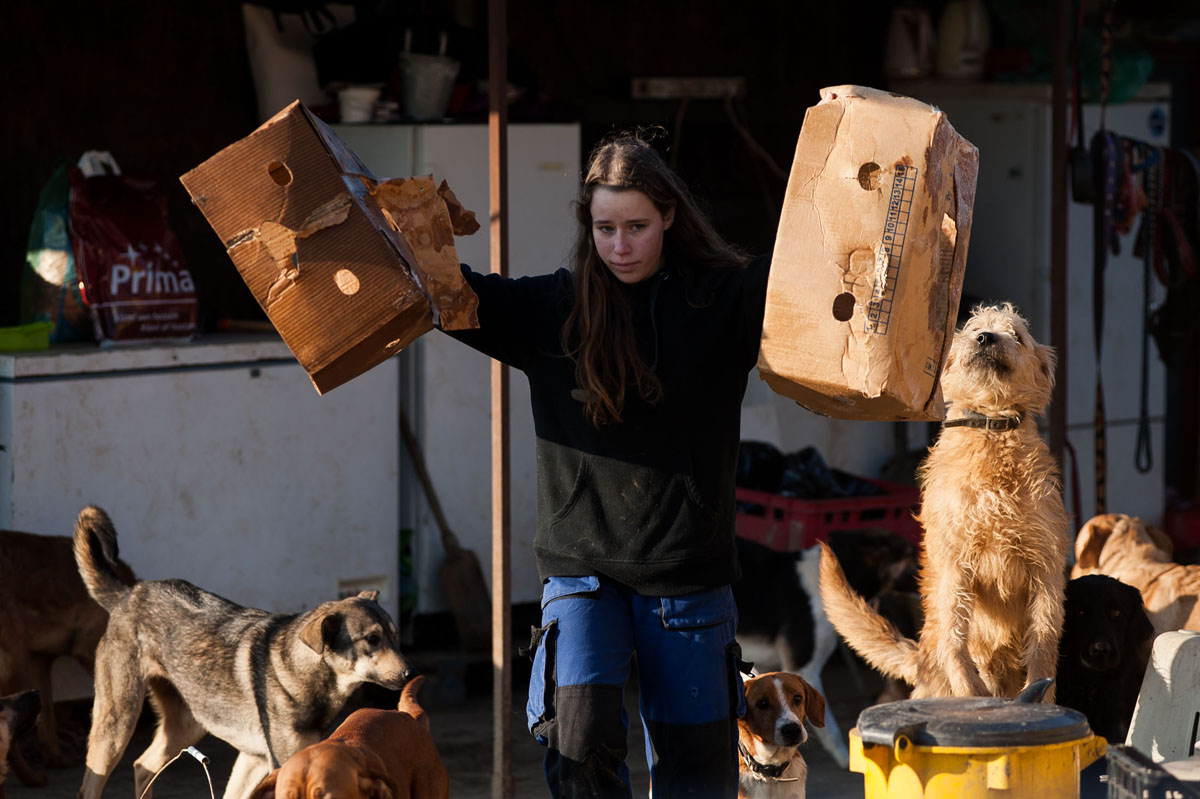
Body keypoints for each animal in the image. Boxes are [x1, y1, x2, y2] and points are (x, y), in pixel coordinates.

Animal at [0, 525, 133, 782]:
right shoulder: (87, 649)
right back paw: (31, 777)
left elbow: (47, 714)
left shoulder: (40, 659)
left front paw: (56, 759)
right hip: (17, 665)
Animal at [73, 503, 417, 796]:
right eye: (371, 639)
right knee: (91, 785)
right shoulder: (279, 764)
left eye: (394, 635)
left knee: (143, 766)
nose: (409, 673)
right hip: (117, 722)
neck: (302, 670)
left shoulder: (253, 760)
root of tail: (128, 593)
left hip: (188, 724)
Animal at [825, 303, 1070, 695]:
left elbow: (1044, 641)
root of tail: (919, 661)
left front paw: (1042, 693)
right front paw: (969, 689)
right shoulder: (955, 566)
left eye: (1016, 334)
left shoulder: (1045, 564)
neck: (991, 432)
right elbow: (954, 639)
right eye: (972, 328)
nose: (986, 338)